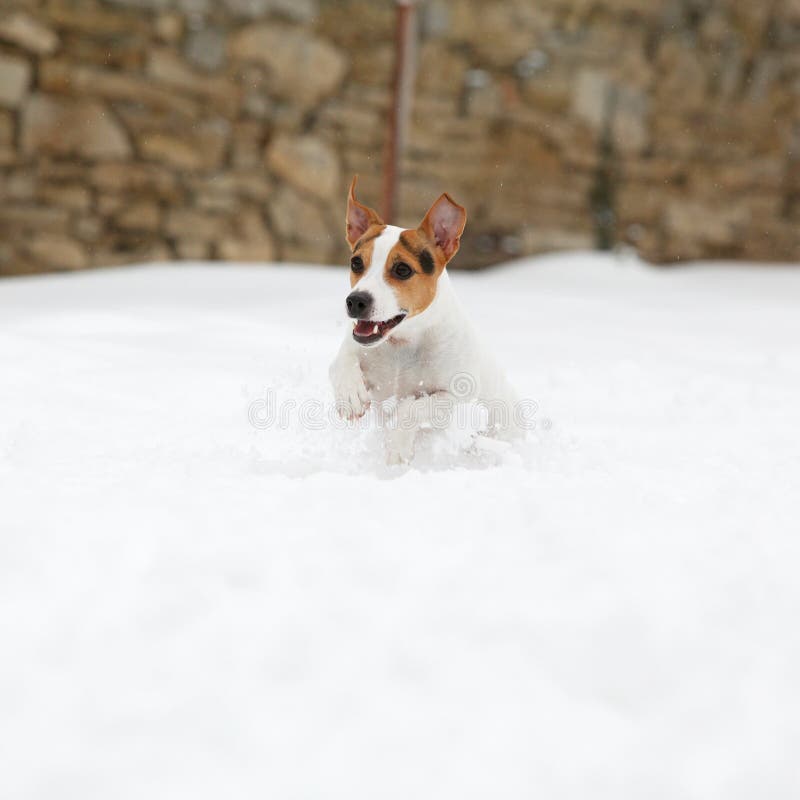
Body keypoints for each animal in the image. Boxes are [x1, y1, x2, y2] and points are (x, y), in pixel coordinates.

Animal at [328, 177, 520, 462]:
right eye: (356, 263)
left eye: (402, 269)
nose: (355, 301)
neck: (404, 342)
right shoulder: (356, 348)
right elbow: (341, 362)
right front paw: (349, 395)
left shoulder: (456, 397)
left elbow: (413, 407)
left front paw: (397, 447)